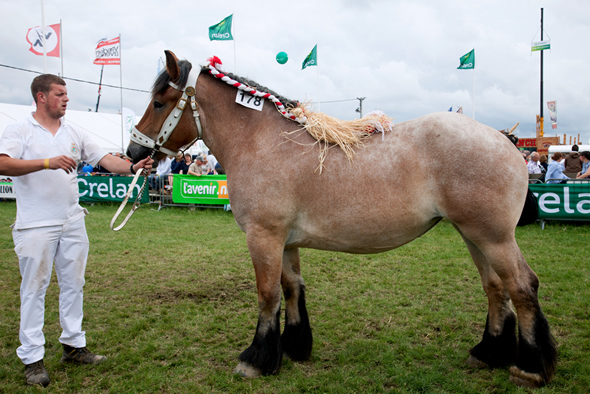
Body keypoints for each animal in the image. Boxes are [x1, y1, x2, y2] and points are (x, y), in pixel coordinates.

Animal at [127, 50, 556, 386]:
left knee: (522, 286)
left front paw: (256, 359)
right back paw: (487, 353)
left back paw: (532, 368)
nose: (134, 152)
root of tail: (503, 139)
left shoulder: (263, 236)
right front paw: (294, 347)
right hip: (473, 235)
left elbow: (267, 294)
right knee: (495, 289)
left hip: (494, 237)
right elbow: (291, 289)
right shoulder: (285, 241)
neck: (262, 142)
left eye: (161, 102)